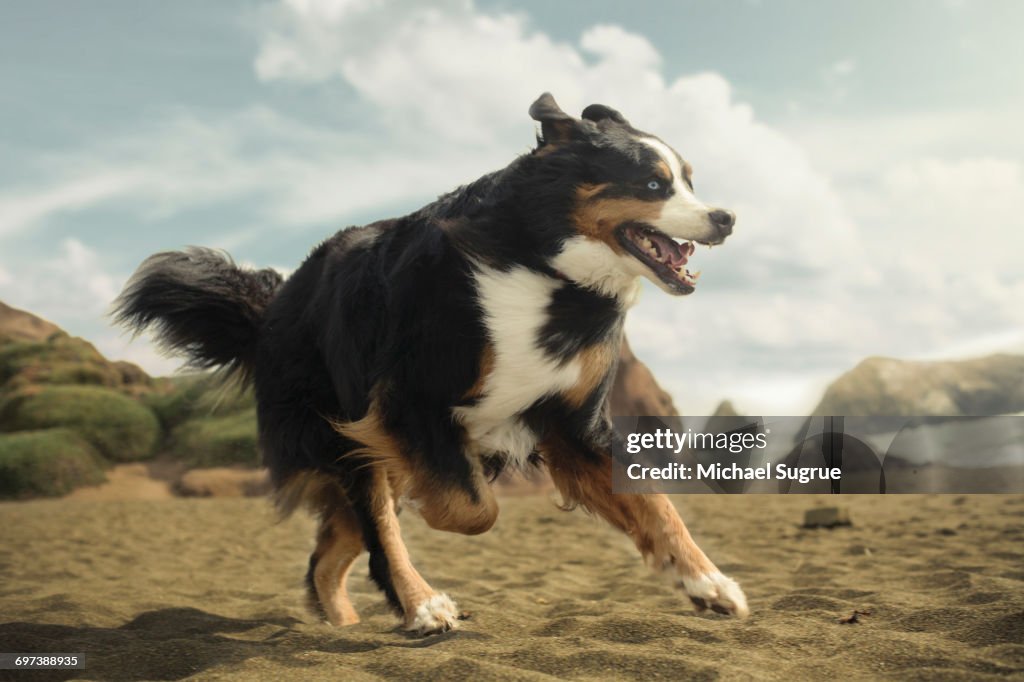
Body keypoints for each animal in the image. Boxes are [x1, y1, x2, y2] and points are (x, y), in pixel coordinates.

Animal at [116, 93, 749, 634]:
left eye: (690, 180)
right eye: (653, 183)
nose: (726, 218)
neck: (547, 270)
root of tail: (273, 306)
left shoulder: (573, 422)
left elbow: (656, 505)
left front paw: (707, 583)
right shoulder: (409, 399)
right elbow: (472, 508)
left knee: (329, 554)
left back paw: (343, 623)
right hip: (343, 425)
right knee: (376, 525)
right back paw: (421, 605)